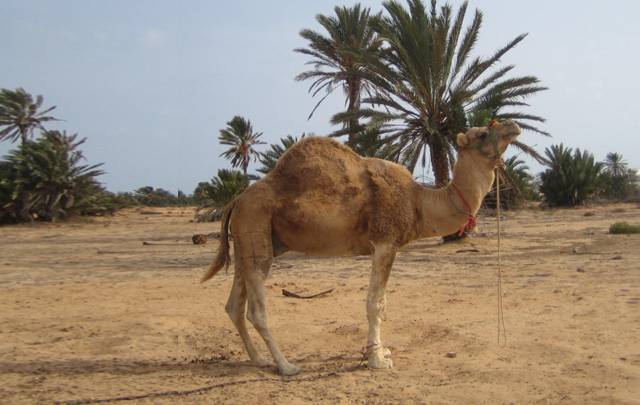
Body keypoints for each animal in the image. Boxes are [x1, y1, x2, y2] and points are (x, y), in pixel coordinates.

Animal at [200, 120, 520, 376]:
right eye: (482, 133)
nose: (512, 126)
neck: (419, 202)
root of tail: (236, 200)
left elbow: (380, 303)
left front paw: (380, 351)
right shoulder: (385, 240)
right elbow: (376, 303)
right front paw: (377, 359)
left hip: (247, 240)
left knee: (234, 304)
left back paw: (259, 359)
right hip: (255, 228)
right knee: (256, 309)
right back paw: (286, 366)